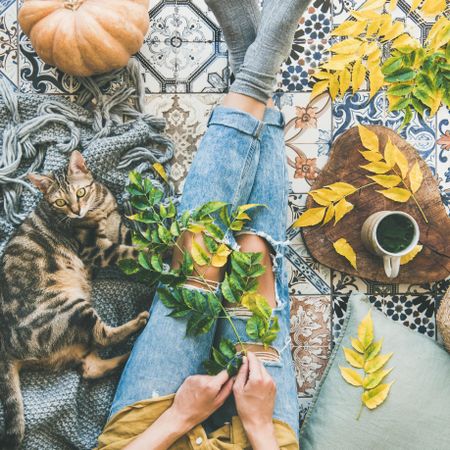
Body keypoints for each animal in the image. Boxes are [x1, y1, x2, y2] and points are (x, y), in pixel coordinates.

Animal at [0, 152, 149, 450]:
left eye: (80, 192)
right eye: (60, 202)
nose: (76, 210)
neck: (99, 208)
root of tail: (5, 347)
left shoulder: (119, 228)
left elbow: (137, 239)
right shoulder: (98, 250)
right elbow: (132, 251)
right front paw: (161, 251)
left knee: (91, 367)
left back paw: (125, 359)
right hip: (69, 307)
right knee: (101, 336)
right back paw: (138, 323)